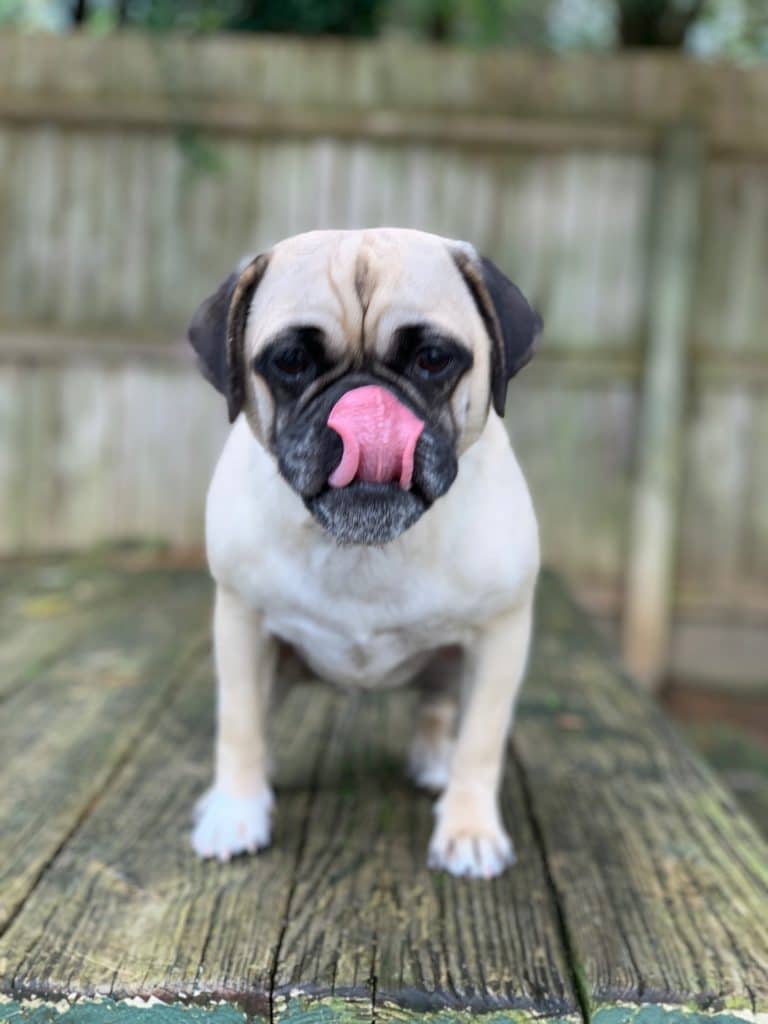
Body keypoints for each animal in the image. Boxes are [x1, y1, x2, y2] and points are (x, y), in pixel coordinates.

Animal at [188, 228, 536, 876]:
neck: (365, 545)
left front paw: (469, 828)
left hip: (452, 664)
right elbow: (239, 723)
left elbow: (481, 741)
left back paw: (435, 763)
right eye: (290, 361)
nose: (367, 404)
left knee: (437, 708)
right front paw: (236, 811)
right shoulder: (242, 624)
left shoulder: (500, 637)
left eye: (433, 359)